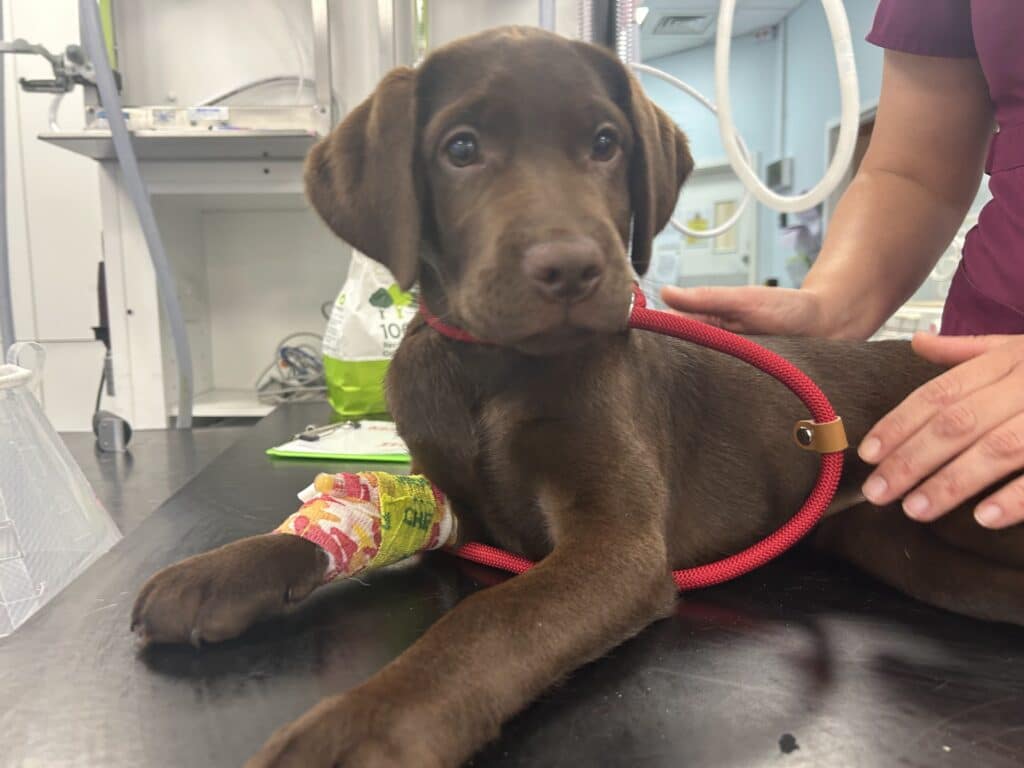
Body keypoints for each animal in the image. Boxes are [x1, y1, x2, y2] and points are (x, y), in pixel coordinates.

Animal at [130, 27, 1024, 768]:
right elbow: (353, 524)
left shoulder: (617, 544)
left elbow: (489, 620)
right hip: (909, 550)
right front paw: (222, 570)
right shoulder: (454, 501)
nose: (571, 269)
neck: (492, 371)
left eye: (605, 143)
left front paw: (365, 726)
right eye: (461, 148)